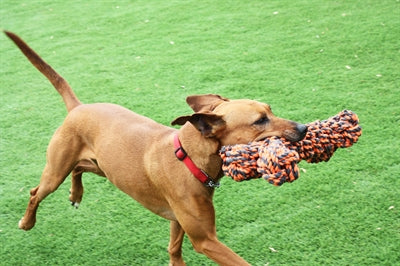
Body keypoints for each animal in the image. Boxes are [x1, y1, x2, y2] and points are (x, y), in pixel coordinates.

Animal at [4, 30, 306, 264]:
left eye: (270, 109)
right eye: (260, 121)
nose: (303, 128)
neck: (189, 158)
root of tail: (78, 107)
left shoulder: (178, 221)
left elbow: (173, 250)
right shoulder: (205, 239)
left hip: (103, 166)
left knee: (79, 169)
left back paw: (76, 193)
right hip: (56, 170)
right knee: (35, 192)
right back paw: (27, 222)